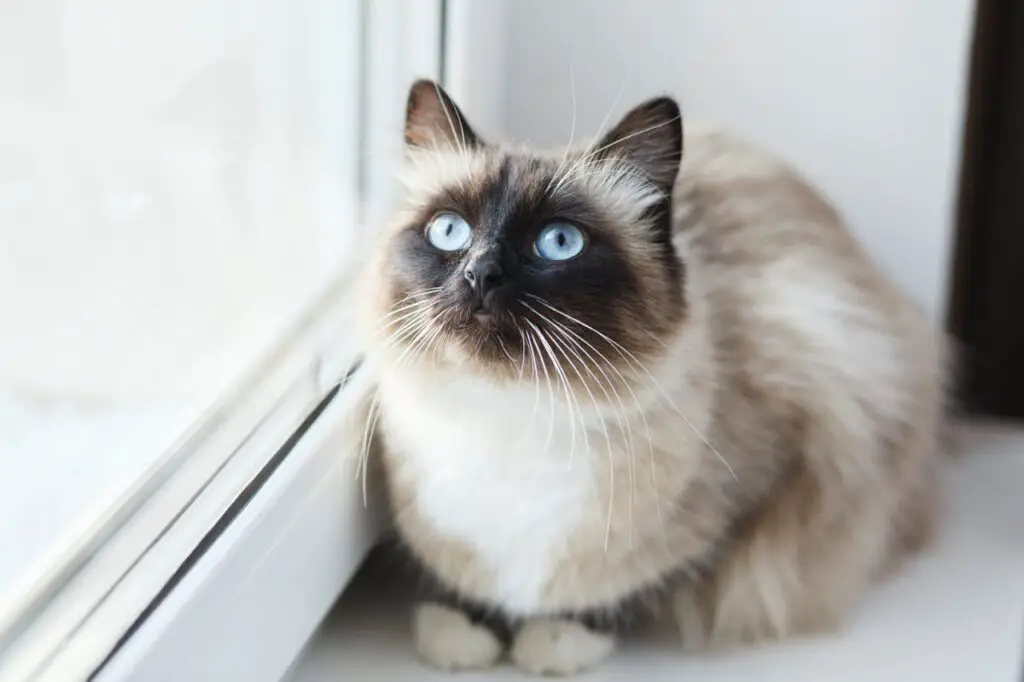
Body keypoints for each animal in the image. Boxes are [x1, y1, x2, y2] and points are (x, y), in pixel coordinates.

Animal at [358, 79, 942, 675]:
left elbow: (637, 585)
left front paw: (558, 638)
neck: (510, 417)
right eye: (449, 231)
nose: (481, 273)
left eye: (558, 242)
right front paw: (463, 627)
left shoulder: (788, 472)